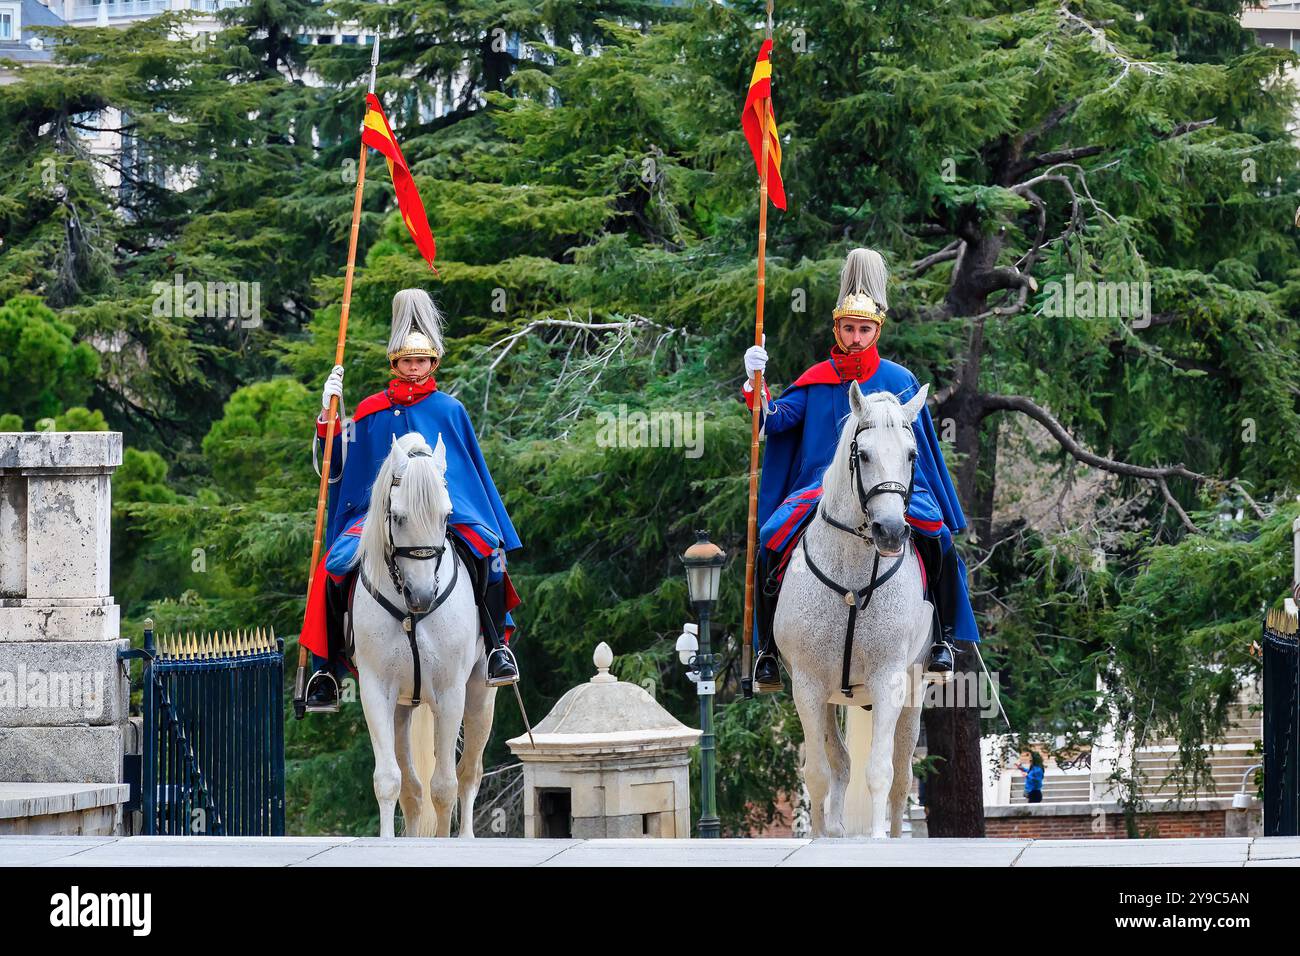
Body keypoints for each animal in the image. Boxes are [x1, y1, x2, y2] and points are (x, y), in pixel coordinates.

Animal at [350, 432, 496, 838]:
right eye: (398, 517)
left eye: (447, 516)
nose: (422, 596)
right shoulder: (376, 690)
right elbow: (388, 780)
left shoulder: (450, 693)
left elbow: (445, 786)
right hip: (402, 707)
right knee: (412, 790)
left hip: (480, 694)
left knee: (468, 774)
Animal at [773, 381, 935, 838]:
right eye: (862, 455)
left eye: (912, 455)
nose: (891, 531)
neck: (852, 572)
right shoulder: (807, 686)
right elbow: (819, 774)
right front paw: (820, 837)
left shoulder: (889, 680)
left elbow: (881, 772)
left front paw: (878, 839)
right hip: (831, 697)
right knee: (841, 763)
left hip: (914, 692)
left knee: (901, 777)